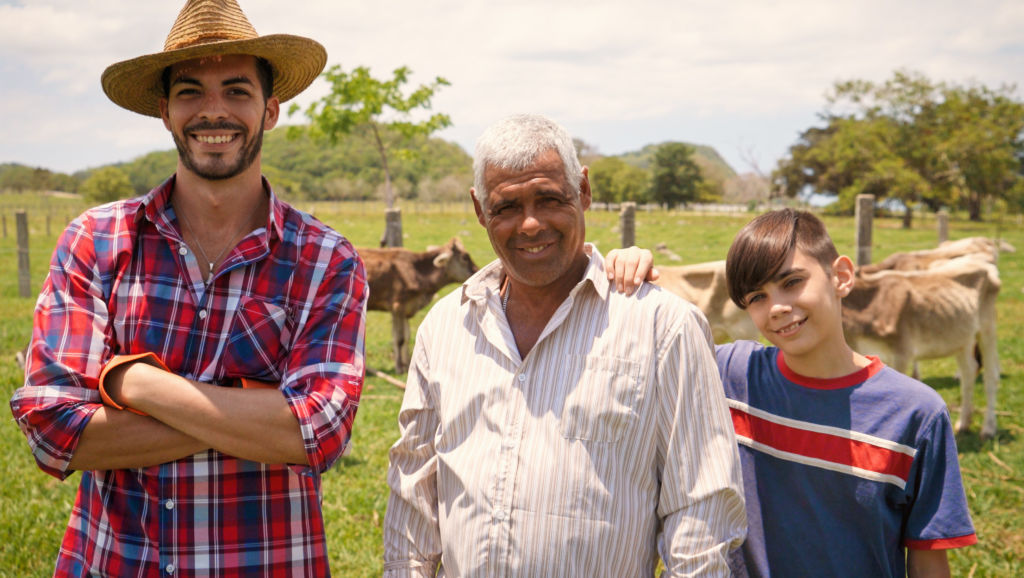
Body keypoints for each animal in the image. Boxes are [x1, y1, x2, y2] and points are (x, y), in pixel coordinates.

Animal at [360, 236, 475, 373]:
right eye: (465, 257)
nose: (476, 270)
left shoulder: (405, 309)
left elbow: (406, 337)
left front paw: (406, 365)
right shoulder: (398, 305)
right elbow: (399, 339)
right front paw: (399, 368)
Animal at [843, 257, 1003, 438]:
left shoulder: (901, 353)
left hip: (987, 328)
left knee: (990, 376)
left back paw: (988, 428)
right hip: (962, 337)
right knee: (968, 371)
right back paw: (963, 423)